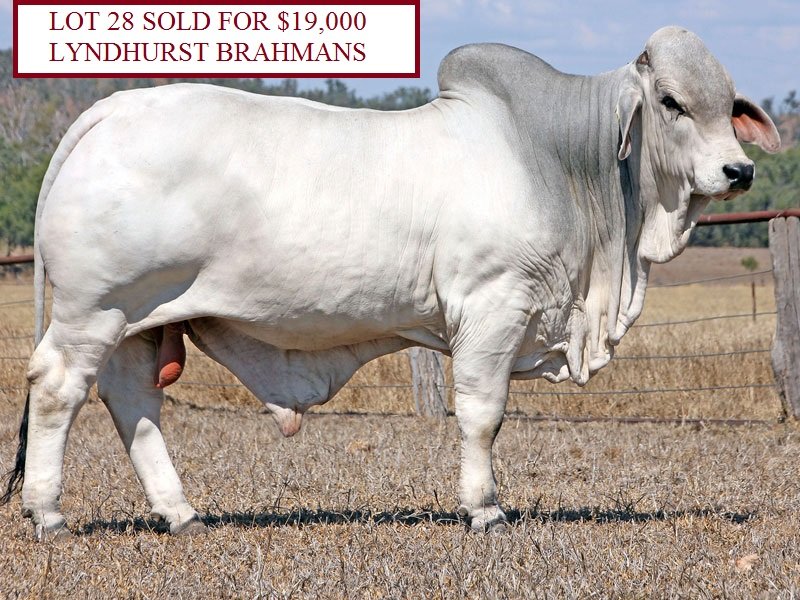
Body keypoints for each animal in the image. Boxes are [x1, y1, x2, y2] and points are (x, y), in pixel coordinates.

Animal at [2, 26, 780, 540]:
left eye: (729, 104)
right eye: (672, 102)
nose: (738, 171)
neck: (559, 161)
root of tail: (110, 109)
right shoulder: (494, 307)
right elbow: (483, 415)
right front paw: (485, 510)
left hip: (142, 320)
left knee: (133, 401)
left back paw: (181, 513)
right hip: (94, 312)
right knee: (58, 390)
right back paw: (49, 514)